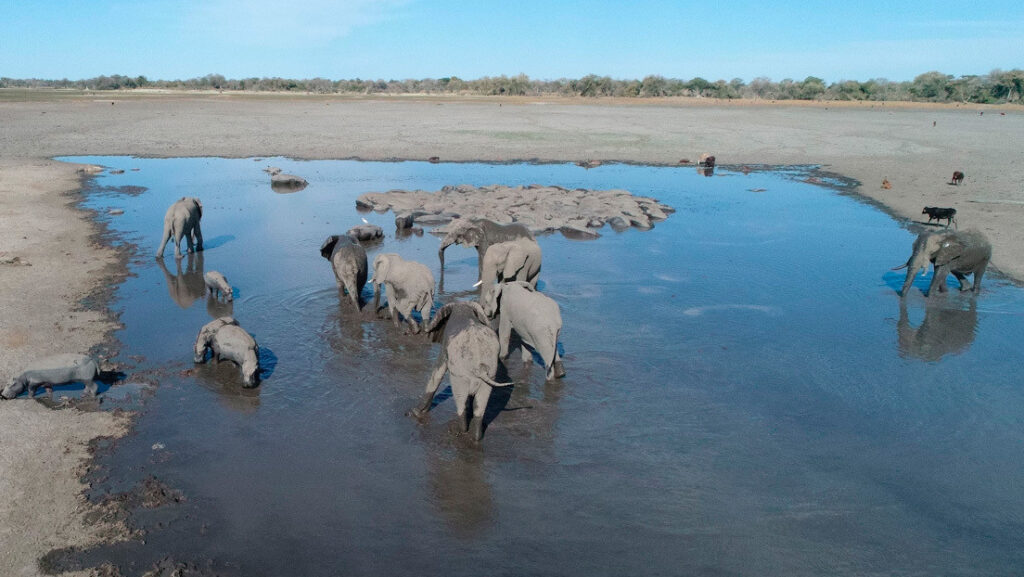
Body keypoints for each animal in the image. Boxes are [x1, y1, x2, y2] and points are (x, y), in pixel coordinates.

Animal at [407, 301, 512, 440]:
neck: (462, 307)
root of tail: (480, 367)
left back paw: (458, 431)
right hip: (490, 374)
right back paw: (476, 436)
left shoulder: (446, 344)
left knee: (460, 400)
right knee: (480, 405)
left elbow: (437, 373)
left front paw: (414, 412)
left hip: (460, 377)